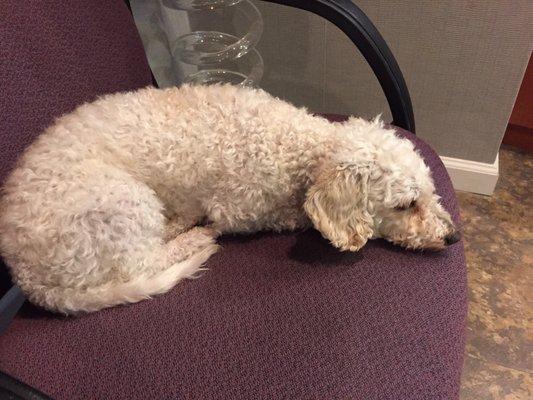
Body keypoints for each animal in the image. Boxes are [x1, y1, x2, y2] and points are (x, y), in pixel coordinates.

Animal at [0, 85, 458, 316]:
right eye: (405, 205)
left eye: (430, 191)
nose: (453, 237)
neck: (296, 148)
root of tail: (22, 272)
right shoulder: (238, 209)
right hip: (120, 202)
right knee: (146, 261)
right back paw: (192, 238)